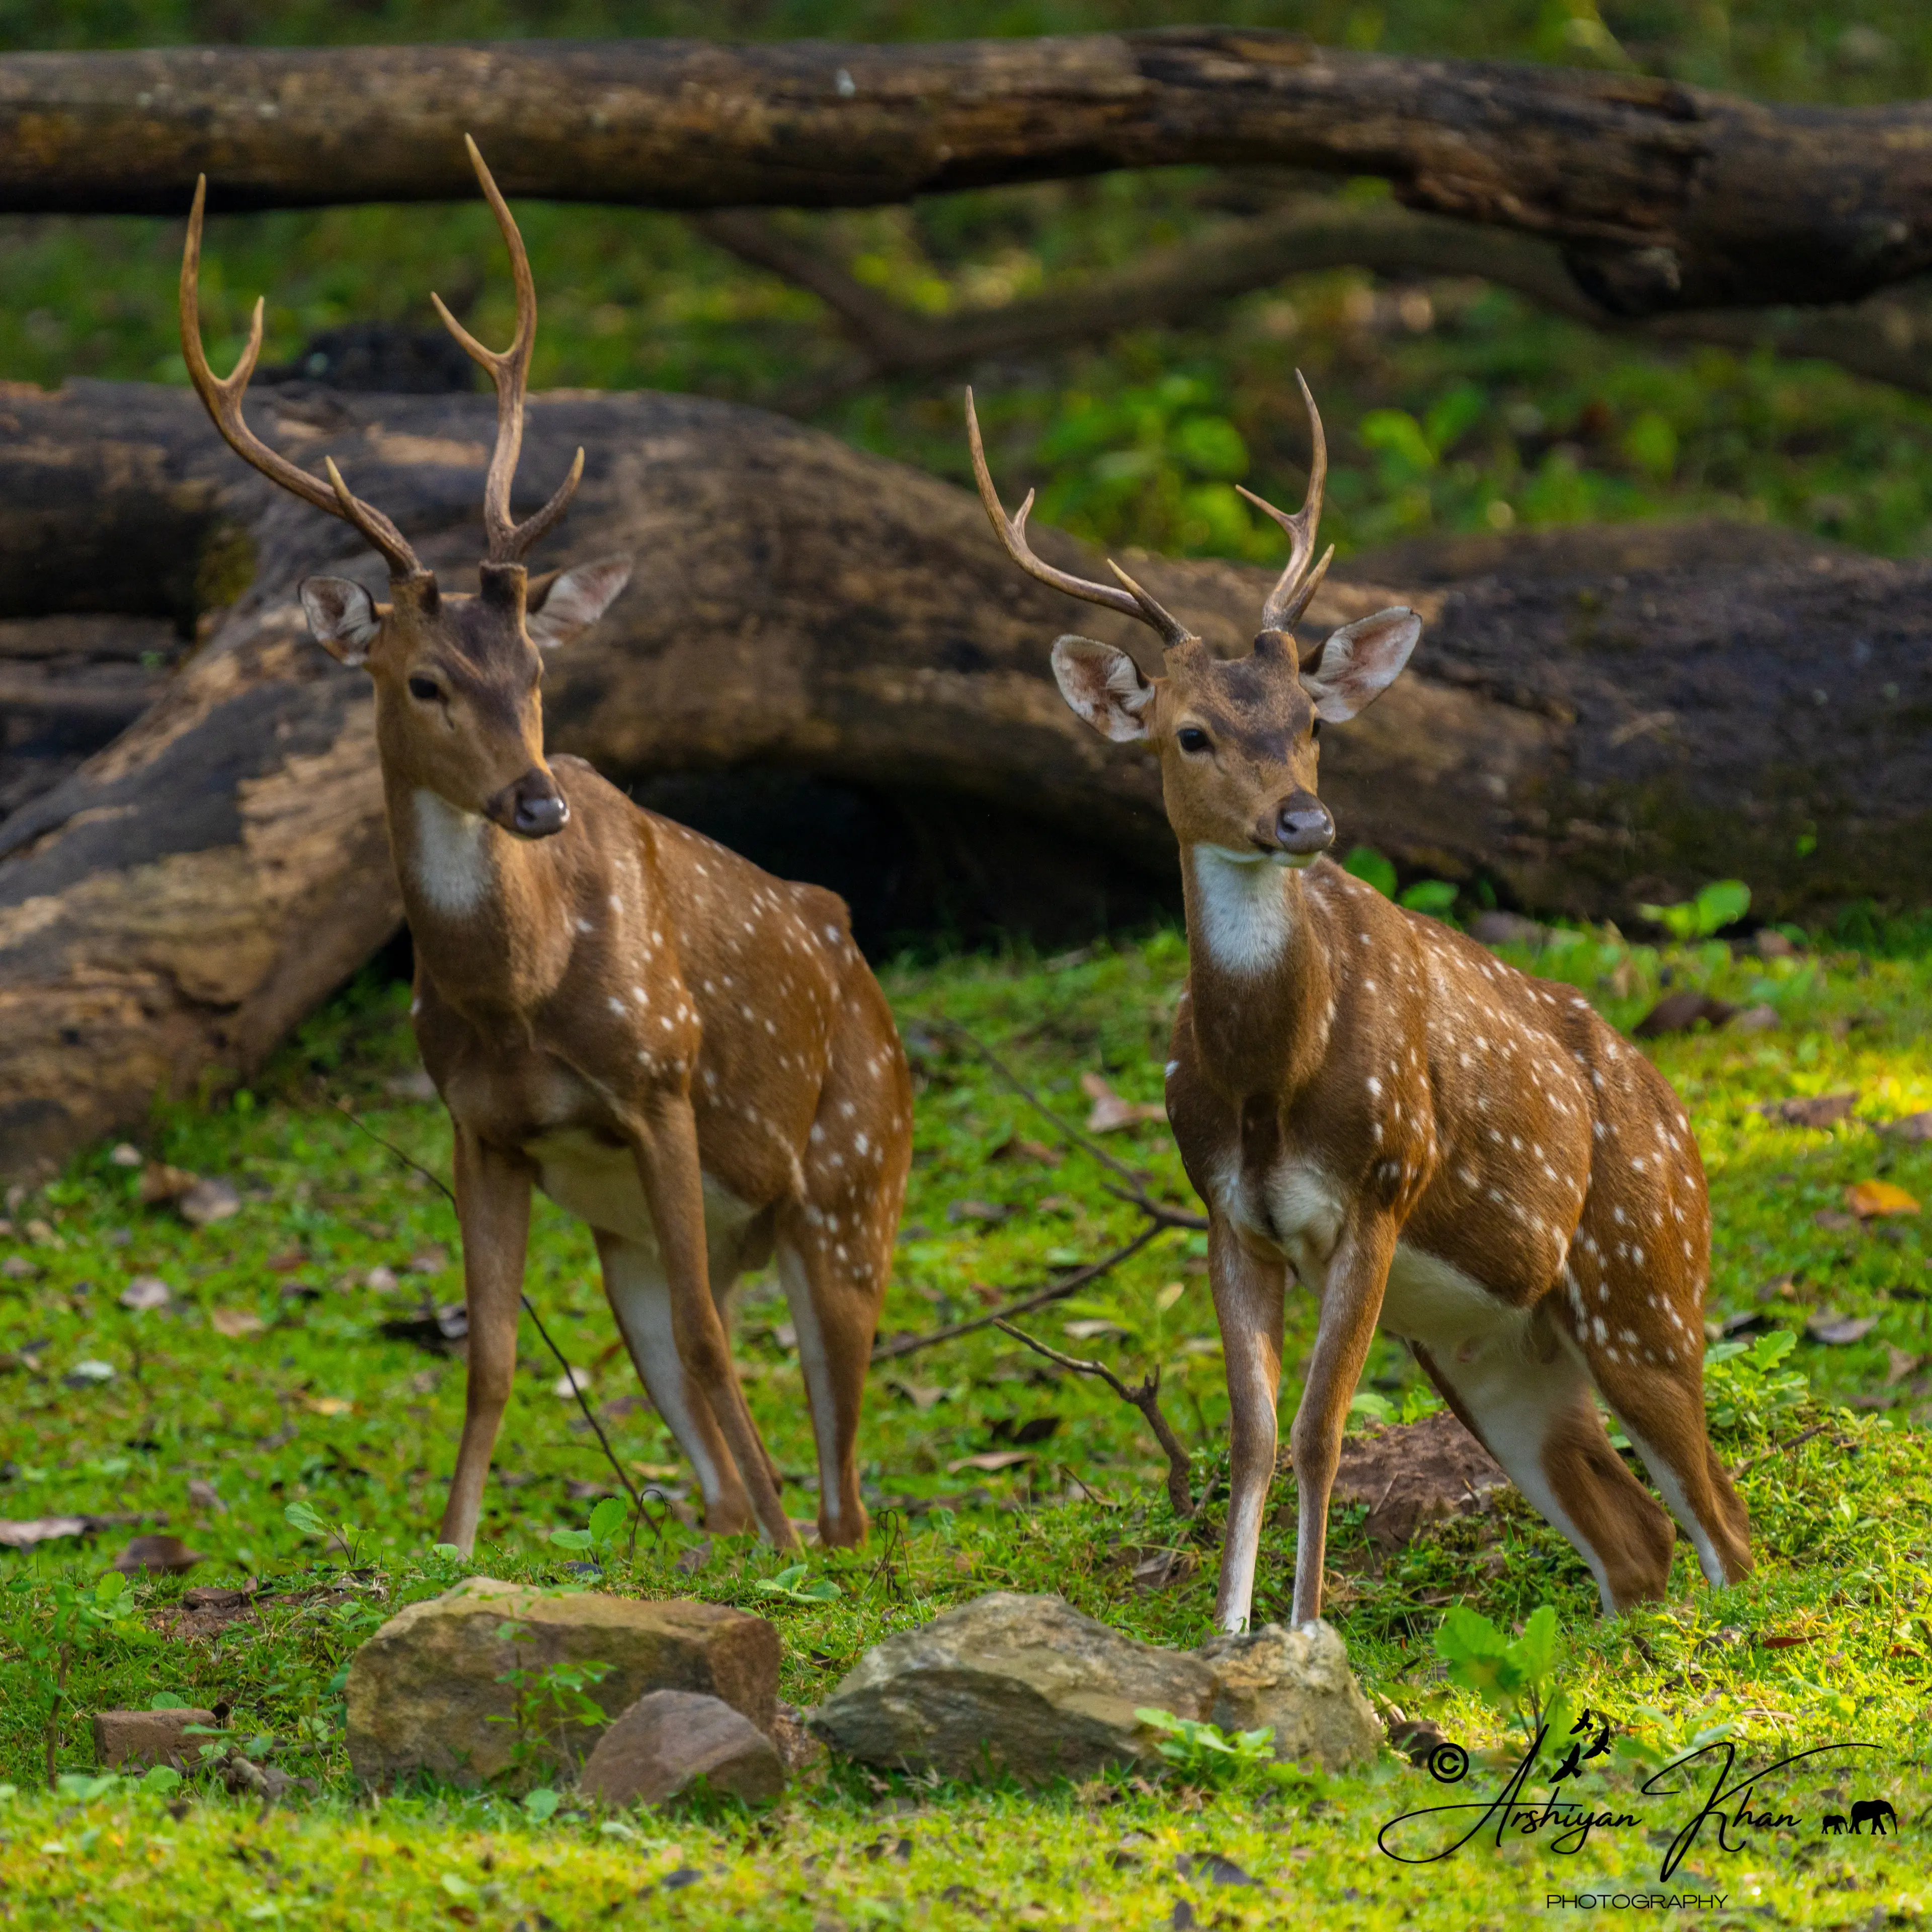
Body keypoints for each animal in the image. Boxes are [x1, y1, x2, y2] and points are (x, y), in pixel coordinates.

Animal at [178, 138, 913, 1556]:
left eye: (534, 670)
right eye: (423, 682)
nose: (534, 802)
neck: (519, 994)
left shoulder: (665, 1074)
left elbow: (711, 1342)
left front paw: (785, 1557)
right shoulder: (483, 1127)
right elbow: (491, 1356)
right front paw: (452, 1549)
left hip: (853, 1183)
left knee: (844, 1469)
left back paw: (806, 1534)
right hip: (637, 1236)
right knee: (699, 1420)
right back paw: (733, 1528)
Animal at [965, 377, 1752, 1634]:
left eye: (1311, 723)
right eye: (1191, 733)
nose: (1303, 821)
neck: (1268, 1080)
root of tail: (1683, 1122)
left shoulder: (1381, 1185)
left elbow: (1318, 1434)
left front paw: (1304, 1629)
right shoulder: (1228, 1214)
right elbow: (1248, 1439)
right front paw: (1227, 1636)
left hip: (1648, 1279)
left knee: (1726, 1525)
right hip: (1495, 1341)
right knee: (1638, 1534)